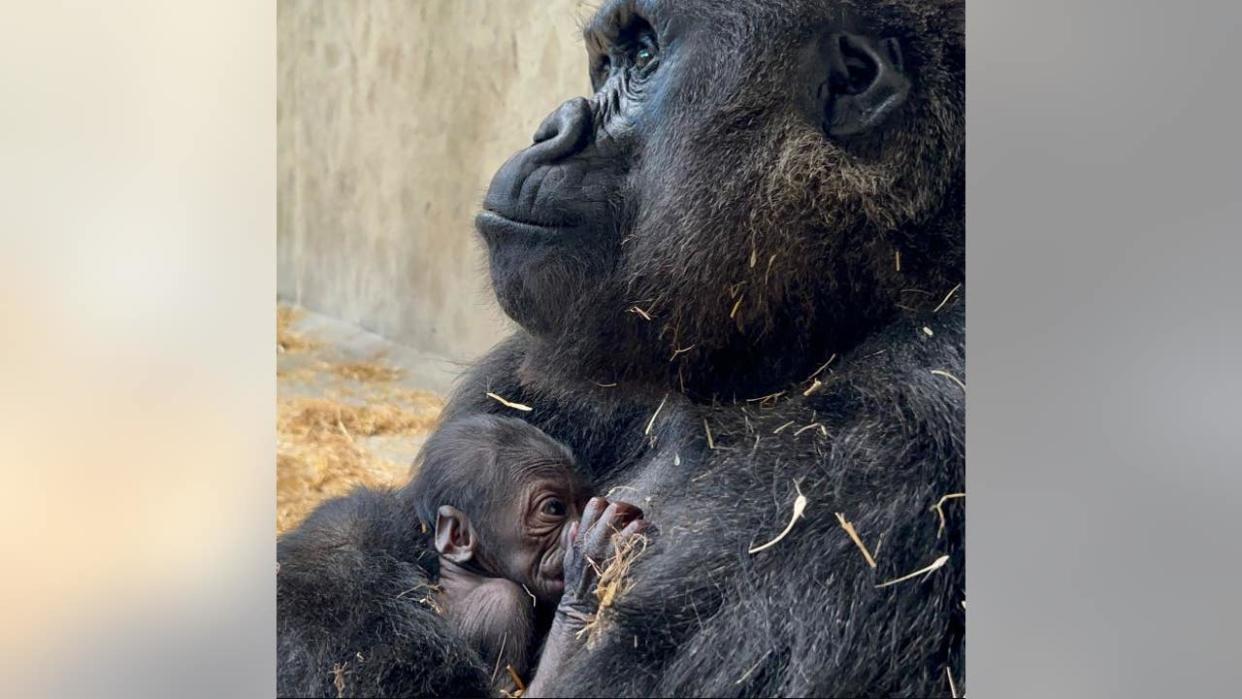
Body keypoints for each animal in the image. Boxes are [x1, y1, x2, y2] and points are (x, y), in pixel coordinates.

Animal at [412, 414, 645, 695]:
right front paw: (590, 564)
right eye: (554, 508)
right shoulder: (502, 606)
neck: (470, 574)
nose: (577, 530)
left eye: (582, 503)